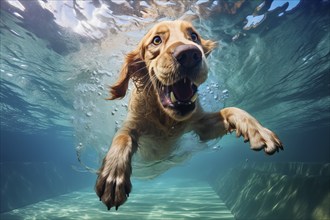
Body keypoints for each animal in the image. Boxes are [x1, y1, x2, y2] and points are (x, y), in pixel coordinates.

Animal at [95, 20, 284, 210]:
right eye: (156, 40)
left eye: (194, 36)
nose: (189, 55)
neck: (166, 118)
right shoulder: (133, 124)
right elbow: (123, 138)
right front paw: (114, 175)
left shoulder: (202, 125)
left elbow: (232, 110)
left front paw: (258, 131)